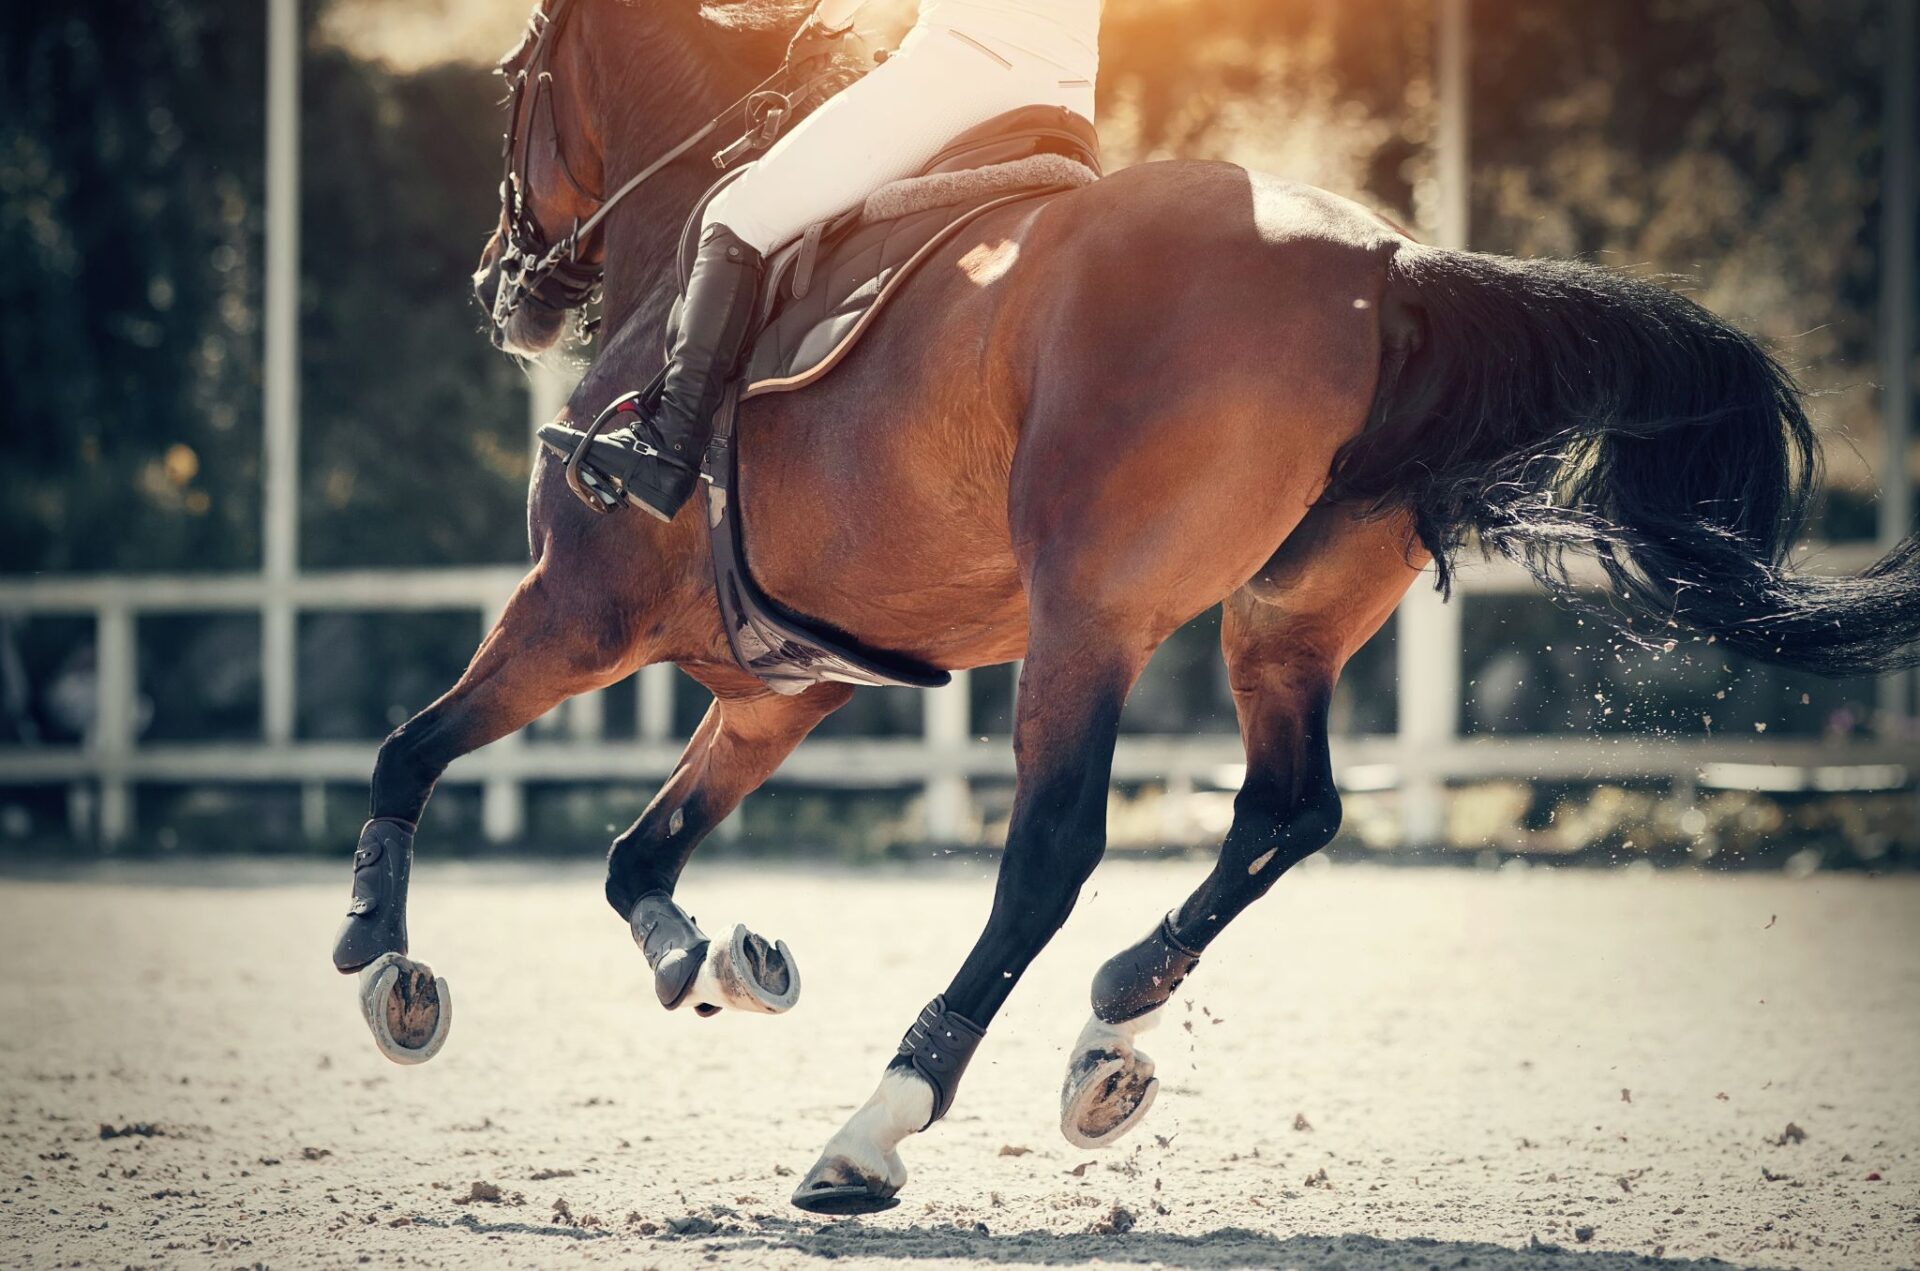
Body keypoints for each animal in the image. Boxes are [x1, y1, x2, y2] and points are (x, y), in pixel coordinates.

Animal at [332, 0, 1920, 1216]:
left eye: (513, 81)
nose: (505, 291)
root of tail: (1384, 261)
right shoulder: (783, 685)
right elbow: (632, 854)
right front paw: (716, 957)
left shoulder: (577, 610)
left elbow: (411, 749)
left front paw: (385, 962)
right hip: (1279, 618)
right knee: (1288, 806)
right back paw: (1120, 1014)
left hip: (1087, 618)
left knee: (1051, 853)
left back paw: (876, 1128)